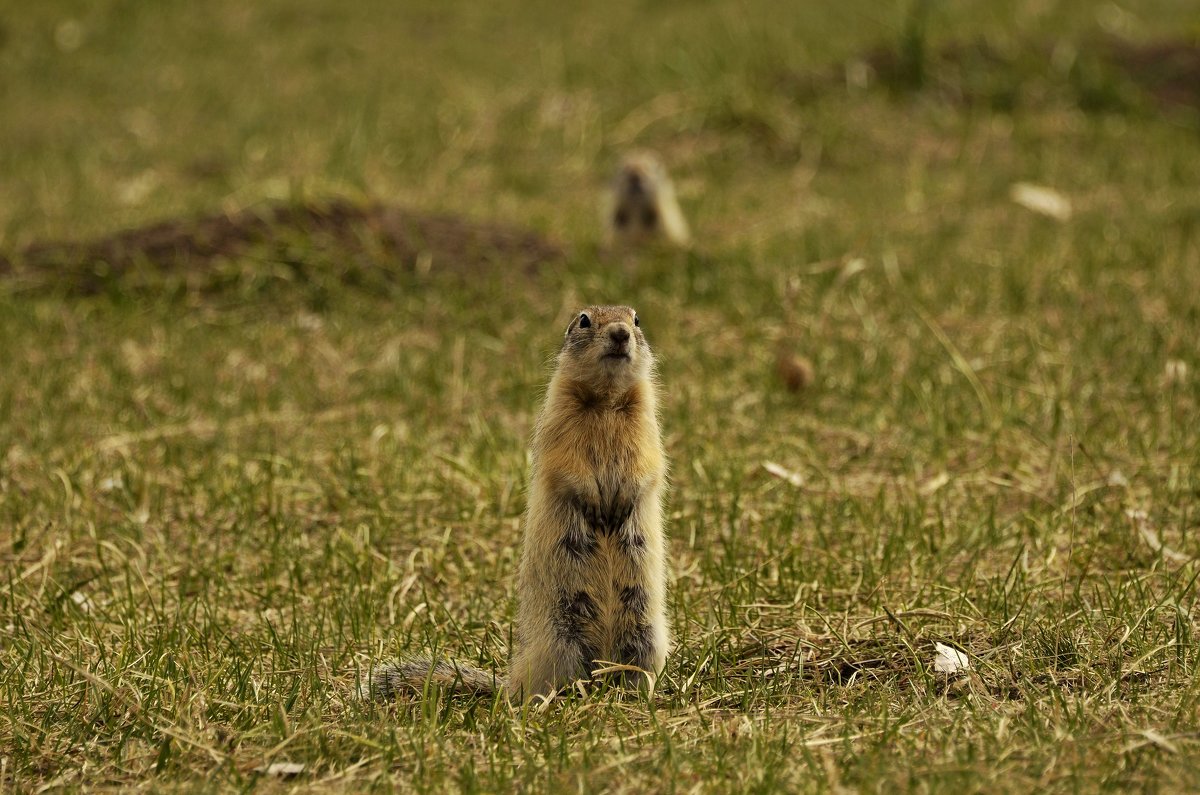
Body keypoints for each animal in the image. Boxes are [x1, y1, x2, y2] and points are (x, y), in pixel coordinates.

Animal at [364, 305, 672, 706]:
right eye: (584, 320)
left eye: (636, 320)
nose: (620, 333)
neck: (605, 399)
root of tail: (512, 681)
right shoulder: (558, 420)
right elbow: (565, 465)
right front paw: (593, 501)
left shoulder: (646, 422)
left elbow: (648, 463)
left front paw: (622, 502)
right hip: (559, 641)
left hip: (646, 634)